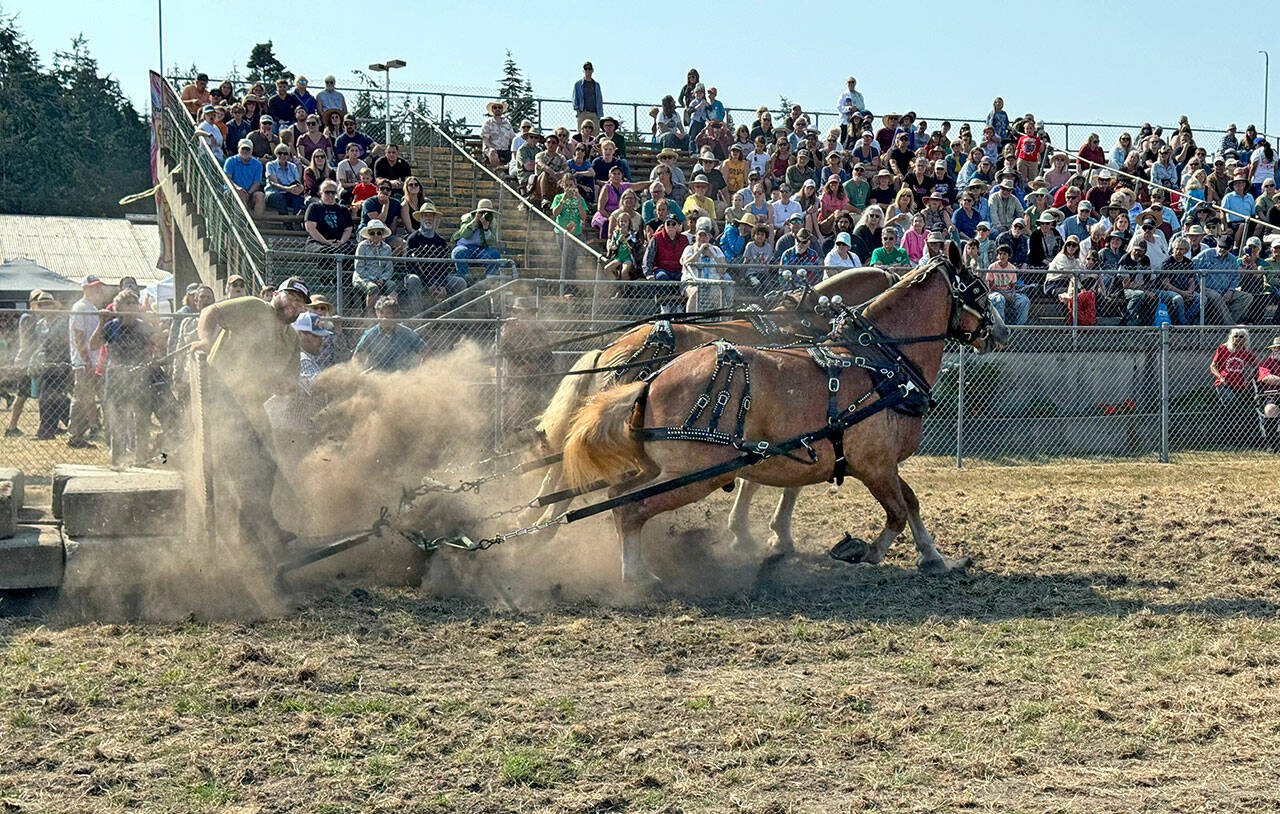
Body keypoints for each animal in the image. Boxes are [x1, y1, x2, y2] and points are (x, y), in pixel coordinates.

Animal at [532, 268, 900, 548]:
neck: (802, 323)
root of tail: (608, 351)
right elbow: (778, 481)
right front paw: (771, 534)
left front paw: (752, 530)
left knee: (564, 468)